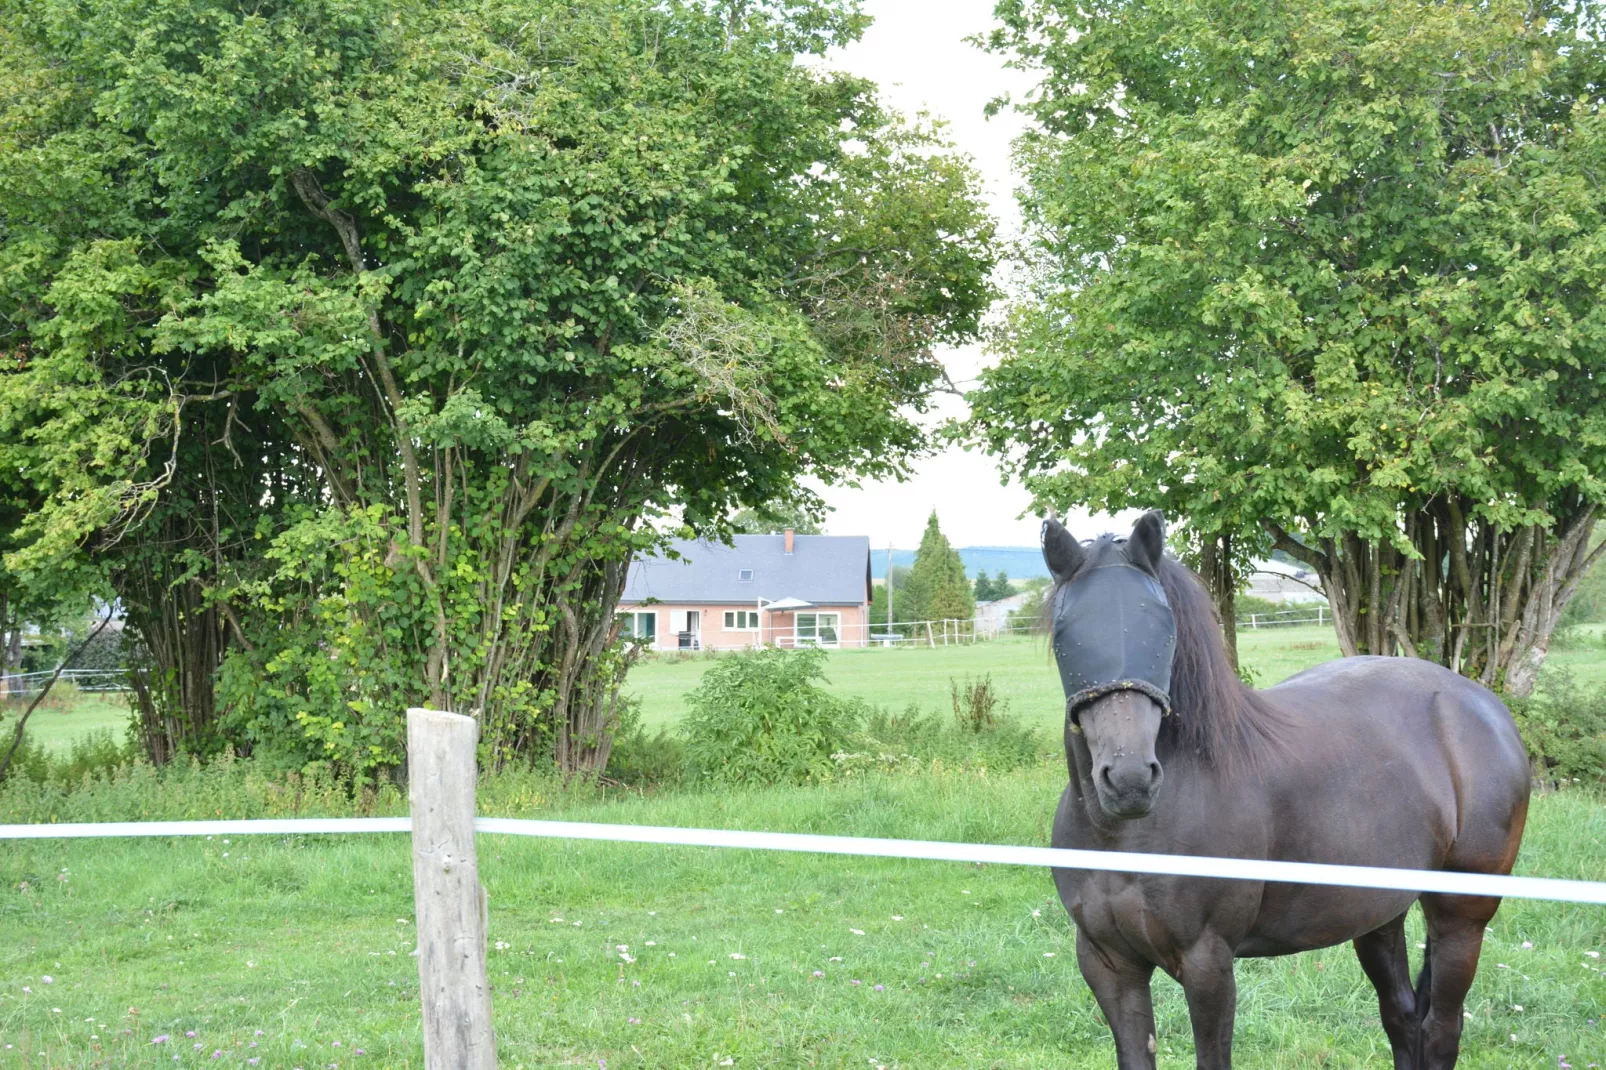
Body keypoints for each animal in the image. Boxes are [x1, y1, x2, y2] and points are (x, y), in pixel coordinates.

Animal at [1040, 514, 1528, 1060]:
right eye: (1067, 632)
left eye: (1162, 628)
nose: (1129, 780)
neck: (1122, 837)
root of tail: (1486, 708)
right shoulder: (1108, 963)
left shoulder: (1208, 964)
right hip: (1378, 913)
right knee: (1402, 1019)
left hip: (1462, 917)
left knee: (1441, 1032)